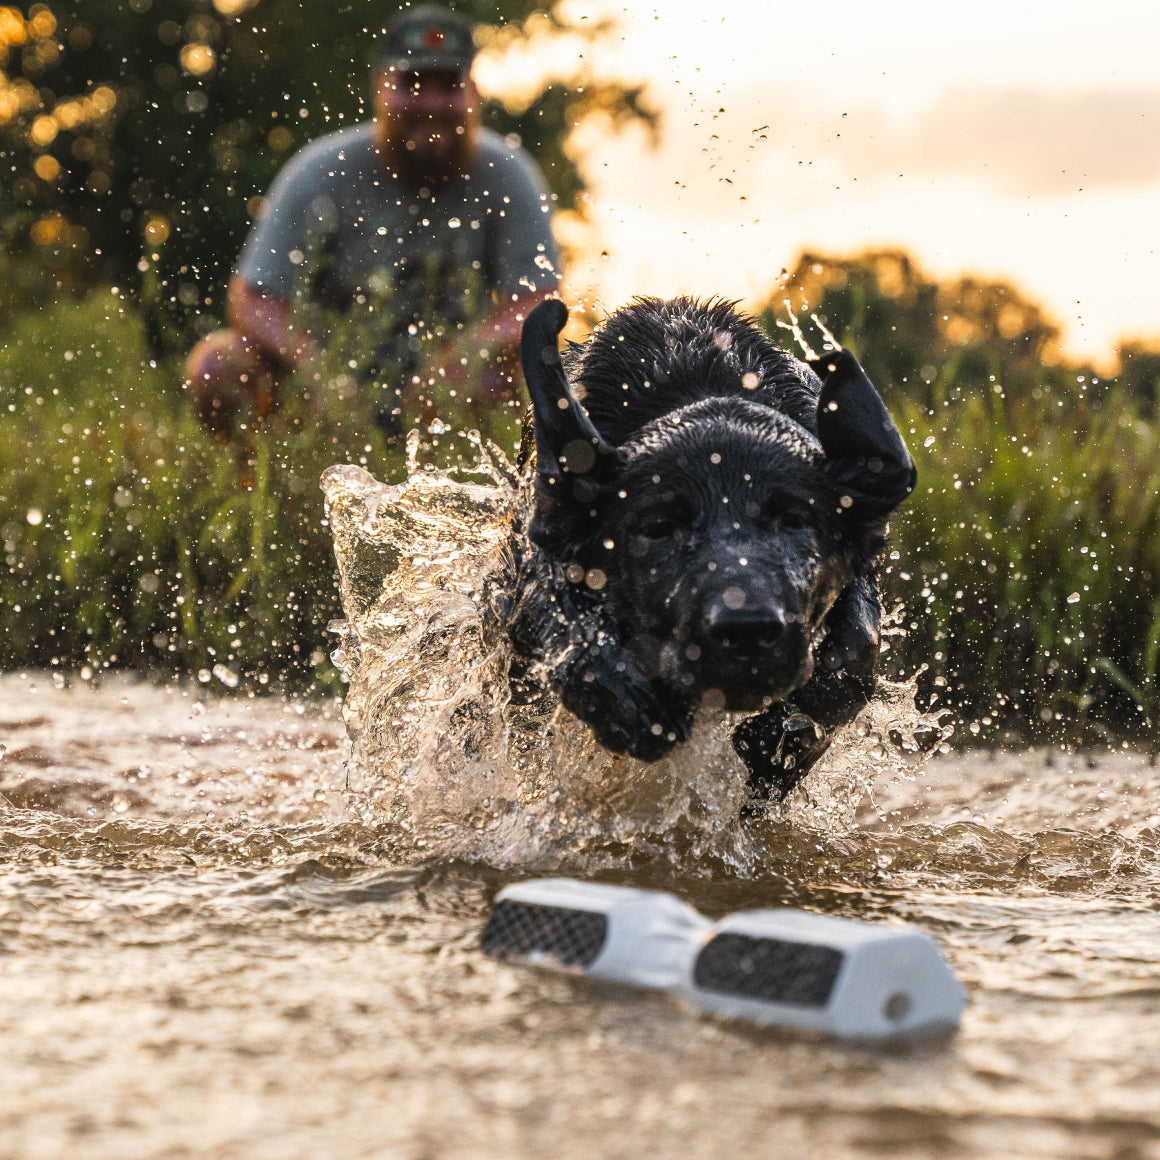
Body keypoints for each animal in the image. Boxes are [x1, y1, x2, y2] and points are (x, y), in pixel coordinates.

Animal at [503, 296, 918, 807]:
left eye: (795, 519)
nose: (747, 631)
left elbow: (853, 659)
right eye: (659, 527)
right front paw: (625, 698)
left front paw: (772, 746)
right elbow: (566, 627)